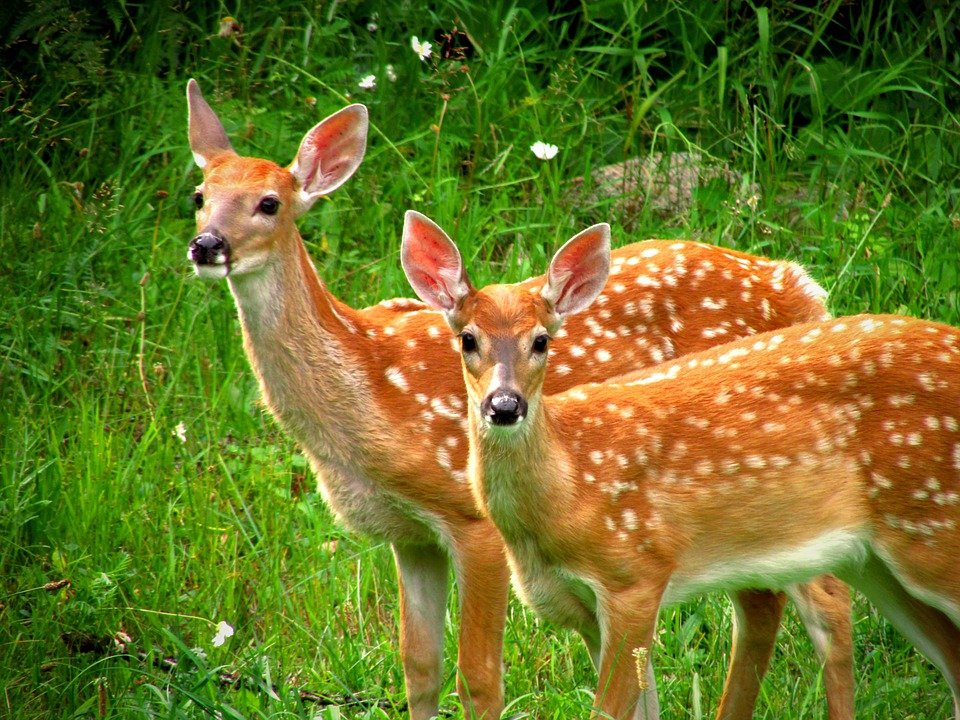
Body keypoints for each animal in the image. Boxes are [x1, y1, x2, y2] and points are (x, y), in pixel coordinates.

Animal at [185, 78, 857, 720]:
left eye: (269, 203)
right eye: (199, 196)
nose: (207, 245)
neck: (369, 393)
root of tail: (803, 288)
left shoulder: (471, 517)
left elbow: (480, 678)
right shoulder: (409, 535)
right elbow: (419, 668)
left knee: (827, 602)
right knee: (762, 604)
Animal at [401, 214, 960, 719]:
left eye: (541, 340)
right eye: (468, 338)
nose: (504, 405)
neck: (571, 484)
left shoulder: (634, 574)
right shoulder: (583, 608)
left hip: (931, 531)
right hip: (873, 561)